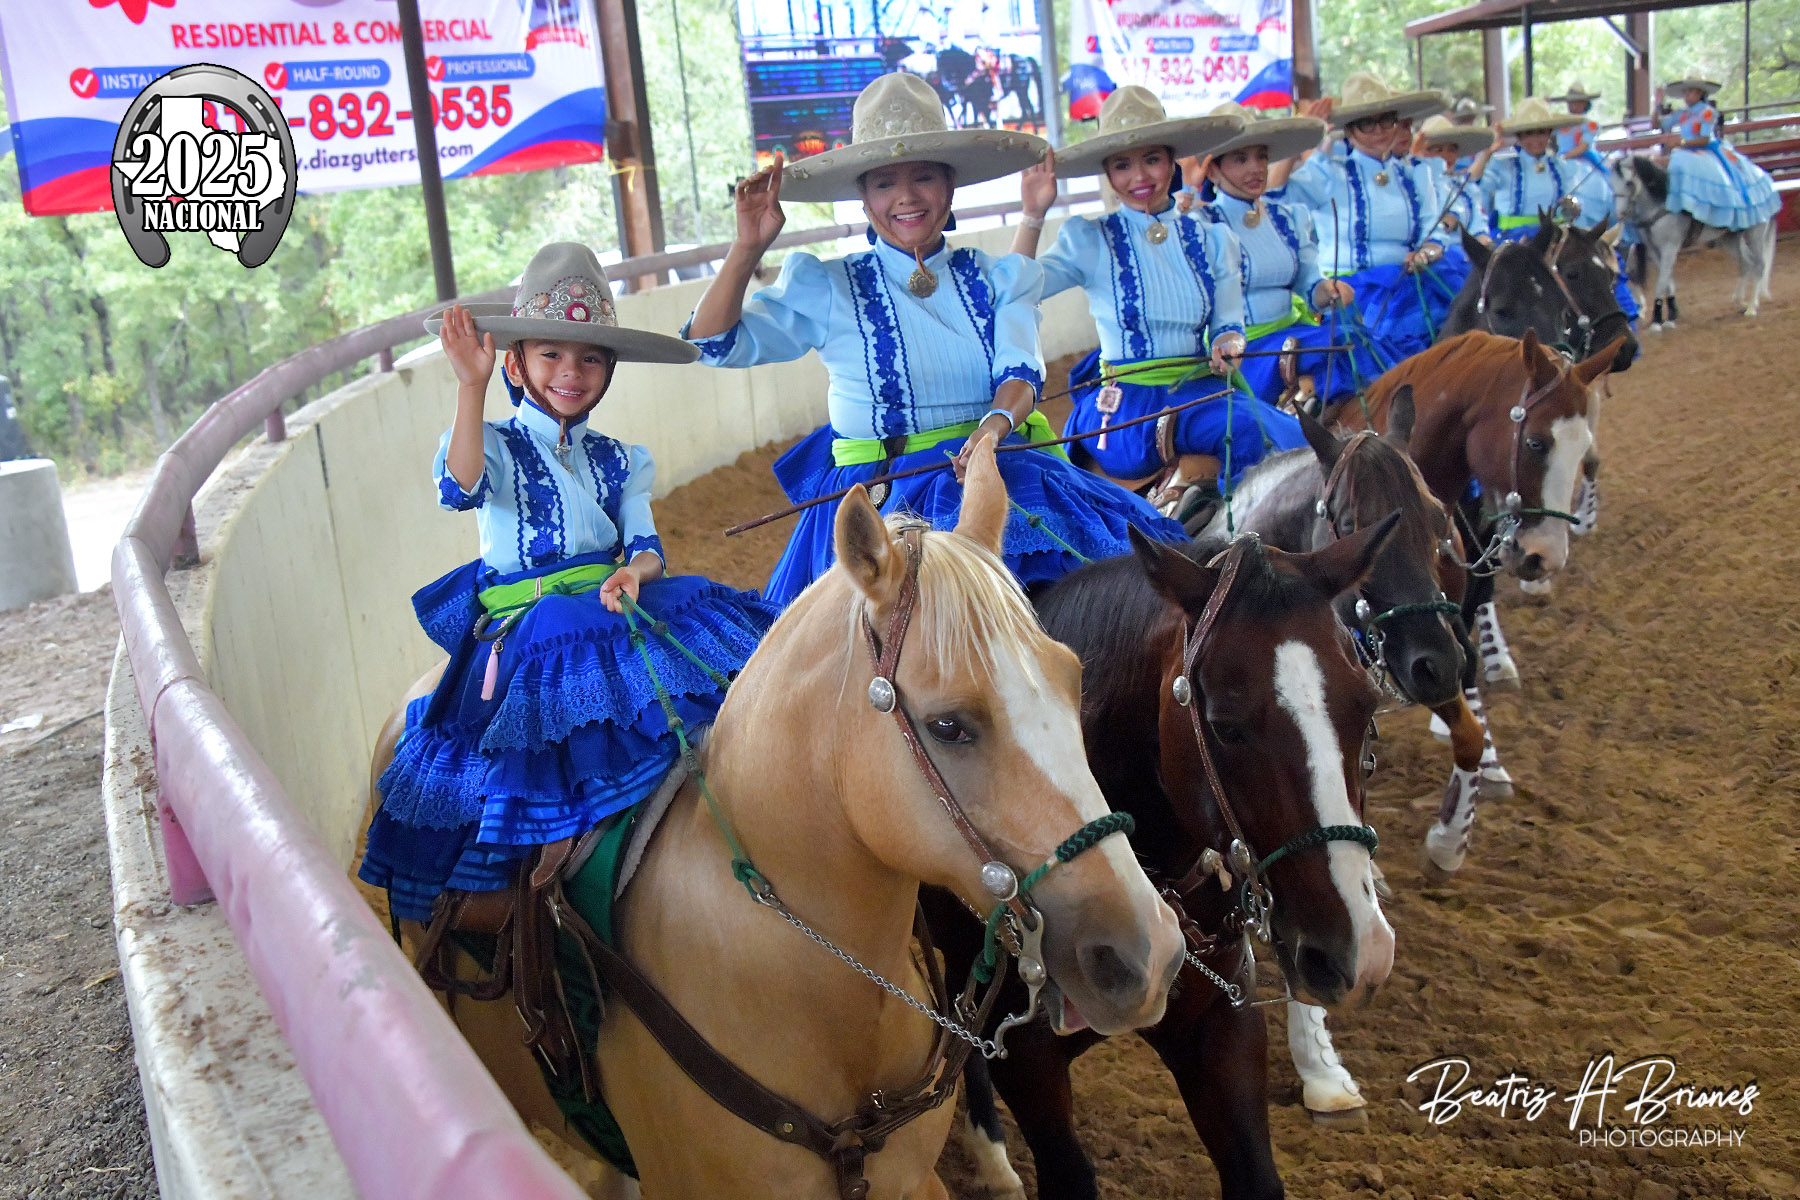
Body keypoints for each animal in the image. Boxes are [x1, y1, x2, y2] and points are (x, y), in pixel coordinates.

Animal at [1611, 153, 1777, 327]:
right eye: (1612, 184)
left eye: (1628, 183)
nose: (1620, 214)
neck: (1660, 205)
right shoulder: (1654, 250)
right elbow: (1667, 281)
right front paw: (1672, 313)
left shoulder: (1669, 248)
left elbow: (1661, 282)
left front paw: (1658, 321)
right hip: (1729, 238)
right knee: (1746, 263)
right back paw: (1741, 302)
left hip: (1755, 235)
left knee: (1759, 265)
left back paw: (1751, 307)